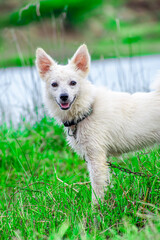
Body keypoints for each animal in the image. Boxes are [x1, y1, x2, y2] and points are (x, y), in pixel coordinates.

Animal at [35, 44, 160, 202]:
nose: (64, 96)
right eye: (54, 84)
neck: (87, 109)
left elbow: (97, 188)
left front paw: (97, 208)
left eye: (73, 82)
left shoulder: (96, 158)